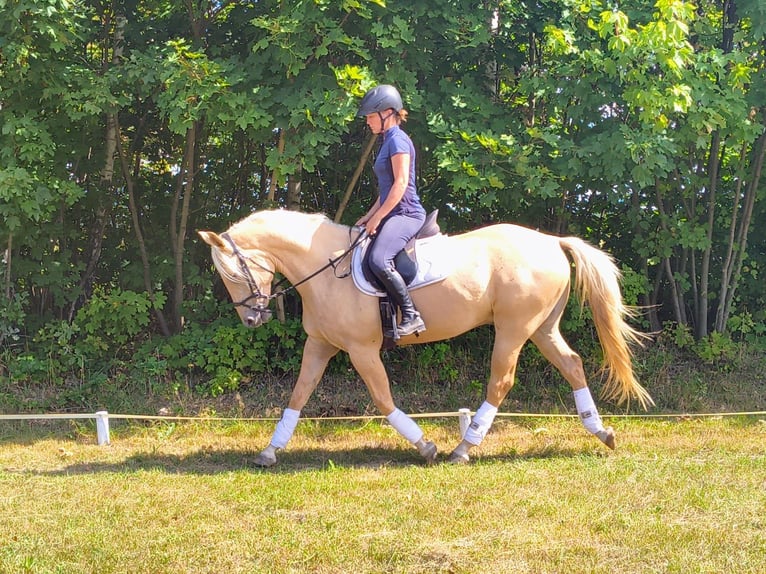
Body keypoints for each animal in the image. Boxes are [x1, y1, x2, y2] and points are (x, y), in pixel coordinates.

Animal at [198, 209, 652, 466]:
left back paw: (462, 449)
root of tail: (552, 242)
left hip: (513, 329)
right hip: (541, 328)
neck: (325, 267)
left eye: (234, 273)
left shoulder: (362, 350)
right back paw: (602, 432)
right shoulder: (321, 345)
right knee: (572, 364)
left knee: (501, 381)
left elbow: (383, 399)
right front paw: (270, 451)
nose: (252, 318)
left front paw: (426, 446)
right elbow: (299, 393)